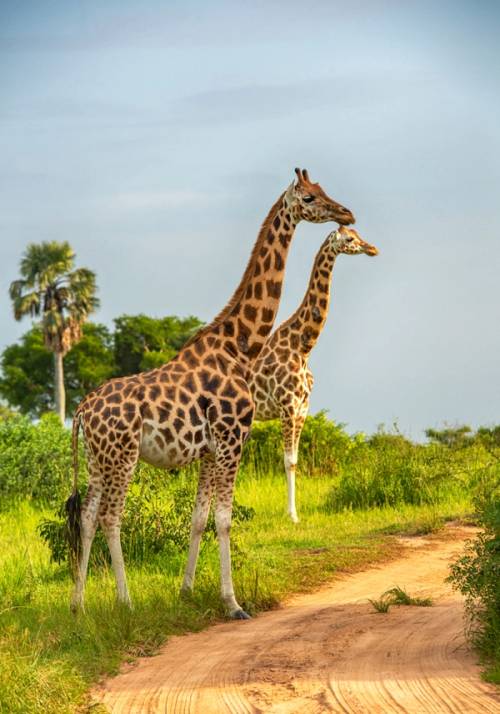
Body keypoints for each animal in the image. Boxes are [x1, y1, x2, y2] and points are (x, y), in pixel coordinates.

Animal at [66, 168, 355, 619]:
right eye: (309, 198)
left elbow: (198, 519)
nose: (347, 213)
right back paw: (125, 602)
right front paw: (232, 602)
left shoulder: (208, 450)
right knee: (112, 517)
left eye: (324, 190)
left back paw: (78, 604)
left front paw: (186, 591)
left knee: (88, 515)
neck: (240, 346)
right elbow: (224, 519)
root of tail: (81, 410)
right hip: (123, 455)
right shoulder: (233, 439)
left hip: (98, 459)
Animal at [249, 226, 378, 522]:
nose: (372, 249)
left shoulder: (302, 409)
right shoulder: (287, 406)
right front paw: (293, 515)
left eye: (358, 234)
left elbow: (296, 460)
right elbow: (288, 460)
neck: (303, 347)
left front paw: (293, 513)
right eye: (350, 239)